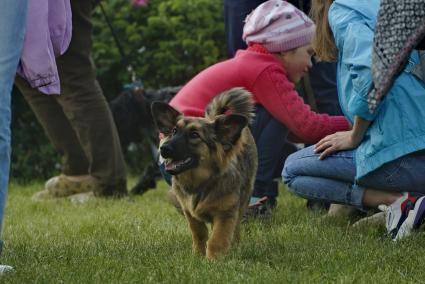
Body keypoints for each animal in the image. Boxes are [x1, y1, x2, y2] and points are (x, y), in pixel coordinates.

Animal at [151, 87, 256, 258]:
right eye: (174, 131)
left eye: (194, 135)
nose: (163, 148)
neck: (199, 182)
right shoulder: (189, 213)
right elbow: (199, 233)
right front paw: (198, 254)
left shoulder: (226, 213)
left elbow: (218, 238)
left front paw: (213, 259)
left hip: (244, 198)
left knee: (236, 228)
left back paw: (235, 245)